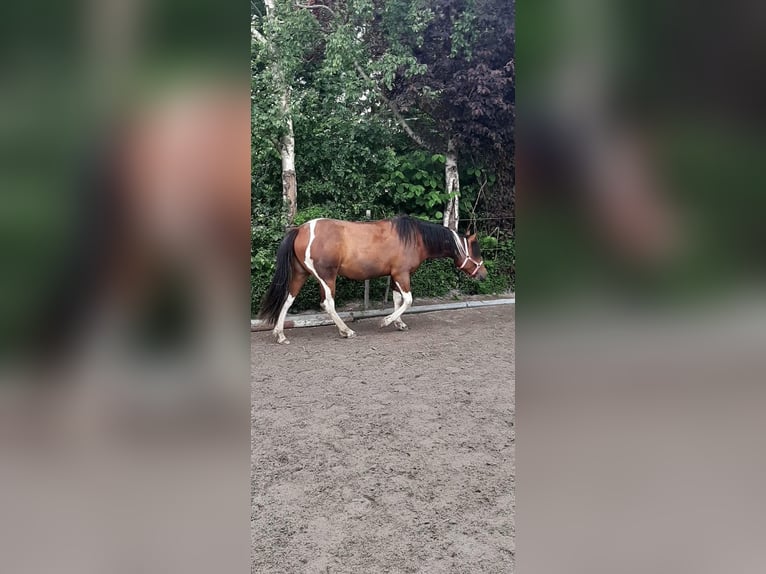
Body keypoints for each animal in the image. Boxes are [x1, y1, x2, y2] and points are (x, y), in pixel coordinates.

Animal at [258, 215, 486, 342]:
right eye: (476, 251)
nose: (484, 274)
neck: (415, 237)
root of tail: (301, 229)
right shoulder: (402, 274)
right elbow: (408, 300)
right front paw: (386, 321)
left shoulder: (394, 276)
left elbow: (397, 300)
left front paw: (399, 323)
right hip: (326, 277)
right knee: (328, 304)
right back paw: (346, 331)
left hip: (301, 274)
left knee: (288, 300)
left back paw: (280, 334)